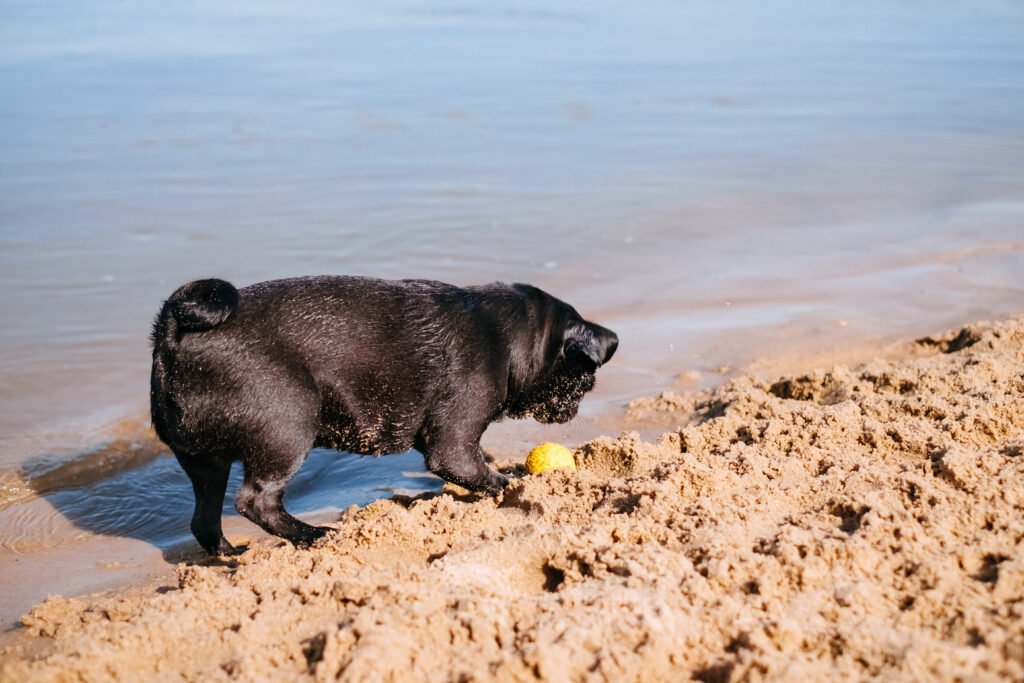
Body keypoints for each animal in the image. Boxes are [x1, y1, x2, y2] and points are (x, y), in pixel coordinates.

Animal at [149, 274, 614, 552]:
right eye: (582, 379)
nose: (575, 408)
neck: (505, 337)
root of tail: (171, 335)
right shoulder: (454, 442)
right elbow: (479, 472)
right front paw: (513, 482)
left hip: (204, 461)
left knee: (204, 518)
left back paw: (229, 555)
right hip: (290, 423)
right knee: (256, 501)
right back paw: (313, 536)